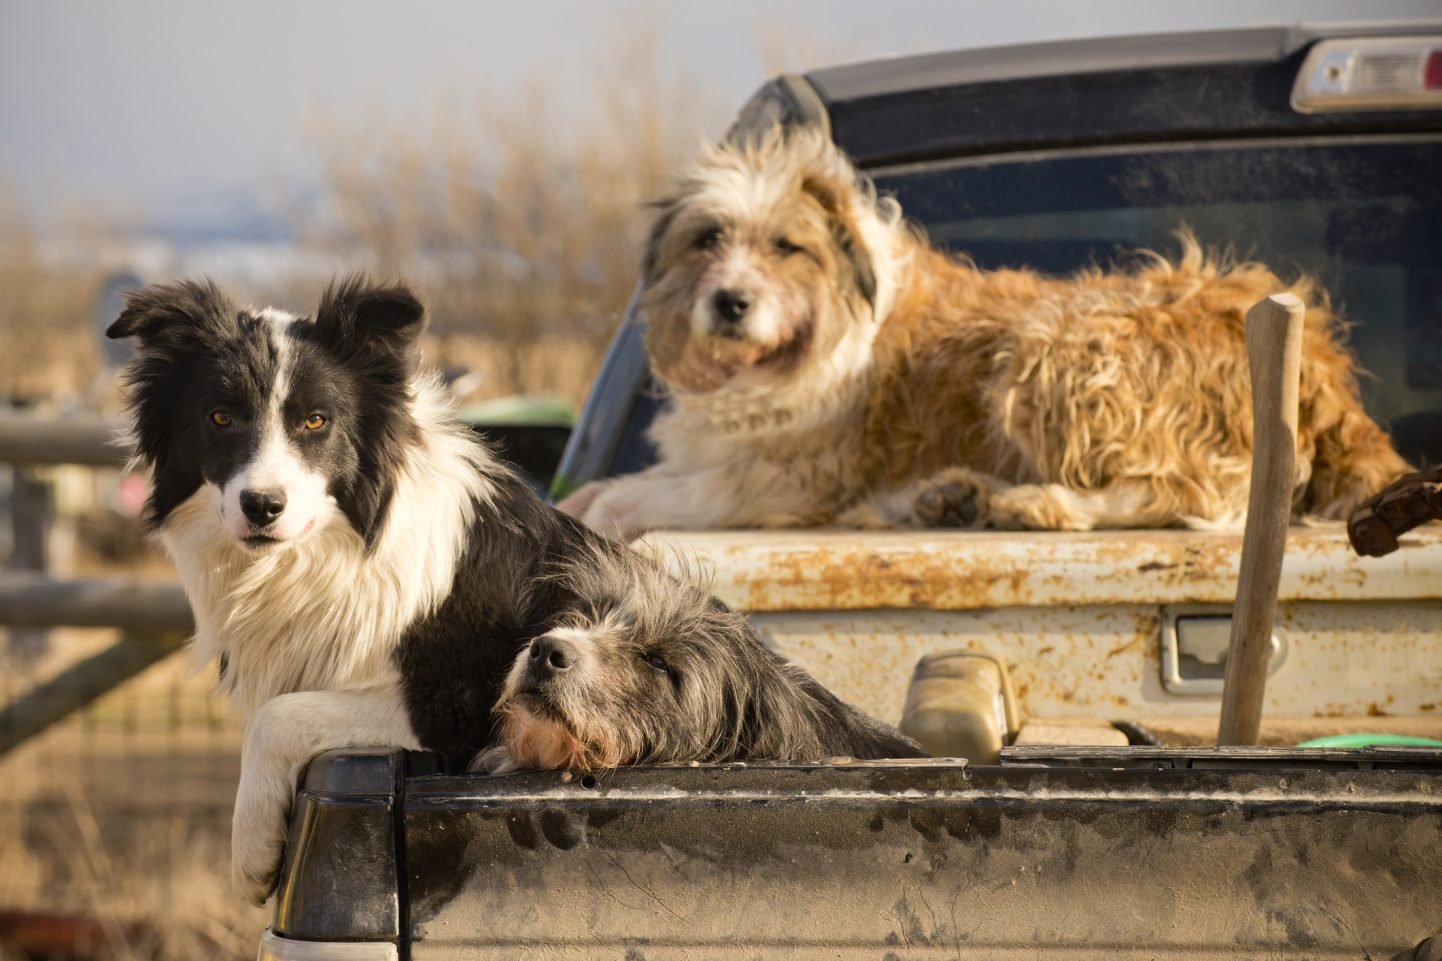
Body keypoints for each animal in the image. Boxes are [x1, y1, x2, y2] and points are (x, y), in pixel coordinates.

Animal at [562, 125, 1407, 539]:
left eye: (786, 246)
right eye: (708, 238)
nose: (730, 302)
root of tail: (1320, 364)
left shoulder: (795, 476)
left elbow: (677, 490)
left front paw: (609, 510)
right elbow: (642, 478)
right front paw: (587, 498)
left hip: (1052, 349)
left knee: (1196, 495)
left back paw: (1041, 504)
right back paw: (958, 497)